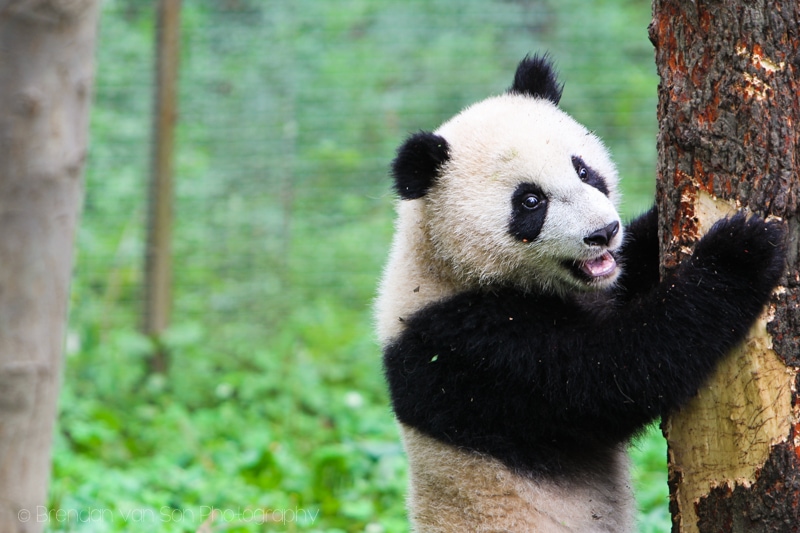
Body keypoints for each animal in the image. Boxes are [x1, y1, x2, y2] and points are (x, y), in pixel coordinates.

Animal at [376, 55, 788, 532]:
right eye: (530, 201)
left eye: (583, 170)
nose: (603, 233)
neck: (442, 262)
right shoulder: (472, 346)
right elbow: (615, 373)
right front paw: (742, 251)